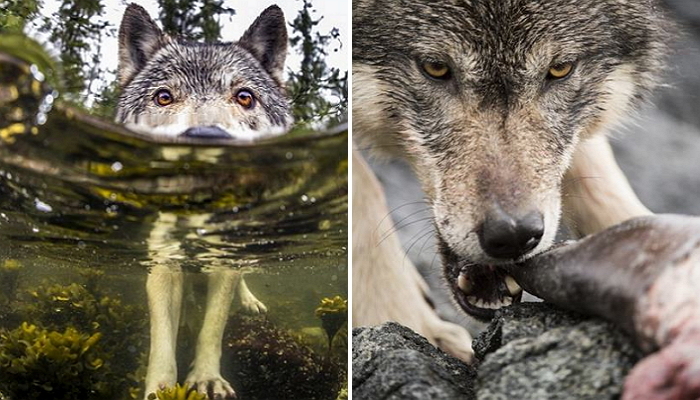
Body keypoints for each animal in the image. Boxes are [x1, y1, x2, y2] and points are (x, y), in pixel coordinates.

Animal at [116, 3, 292, 400]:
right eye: (164, 97)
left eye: (244, 97)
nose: (207, 137)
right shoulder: (163, 262)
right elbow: (162, 337)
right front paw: (161, 388)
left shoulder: (223, 262)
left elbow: (213, 326)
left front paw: (207, 379)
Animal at [356, 0, 672, 362]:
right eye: (435, 68)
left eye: (560, 69)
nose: (514, 236)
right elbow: (362, 187)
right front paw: (400, 317)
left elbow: (597, 173)